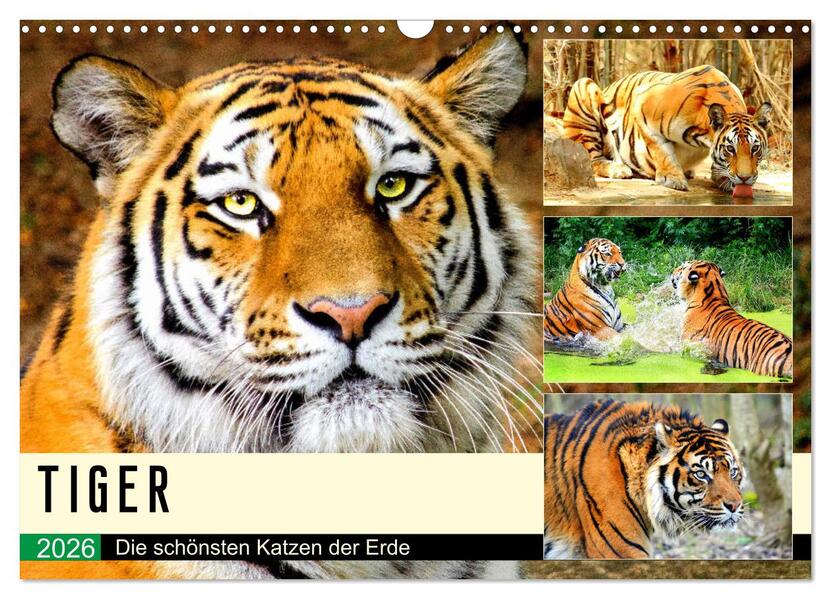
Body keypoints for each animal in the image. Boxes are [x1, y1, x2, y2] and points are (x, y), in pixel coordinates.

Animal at [563, 65, 771, 191]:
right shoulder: (642, 105)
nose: (745, 178)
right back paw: (618, 168)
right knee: (591, 160)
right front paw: (673, 179)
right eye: (730, 149)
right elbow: (661, 149)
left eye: (755, 148)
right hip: (583, 88)